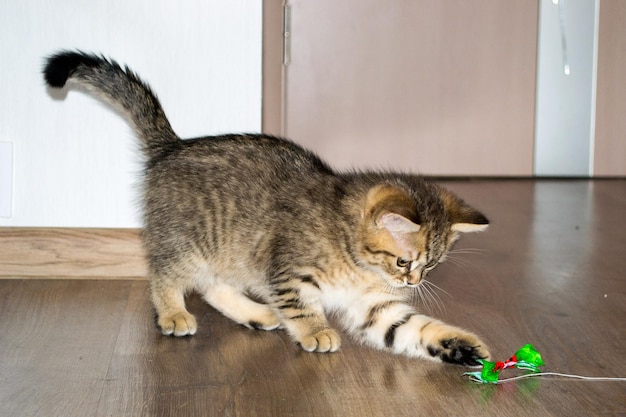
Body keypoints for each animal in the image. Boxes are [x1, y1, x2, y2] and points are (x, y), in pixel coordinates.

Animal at [45, 51, 492, 364]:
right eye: (403, 261)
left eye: (430, 266)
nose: (413, 283)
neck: (350, 251)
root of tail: (171, 146)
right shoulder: (287, 272)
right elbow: (299, 304)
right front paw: (315, 330)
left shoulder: (372, 305)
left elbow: (410, 326)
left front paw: (460, 345)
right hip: (190, 241)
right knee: (164, 273)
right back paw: (172, 312)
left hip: (230, 251)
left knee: (213, 285)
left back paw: (254, 314)